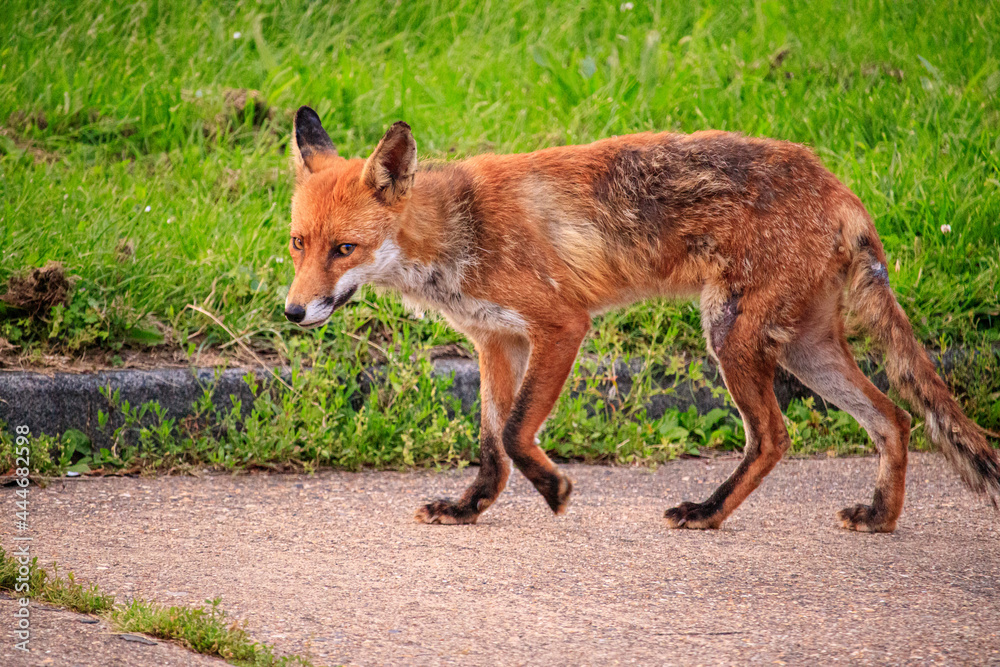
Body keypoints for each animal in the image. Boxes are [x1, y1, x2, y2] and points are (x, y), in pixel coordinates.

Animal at [284, 105, 999, 532]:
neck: (458, 234)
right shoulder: (496, 340)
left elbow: (515, 433)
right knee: (895, 417)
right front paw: (469, 508)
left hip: (731, 335)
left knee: (775, 436)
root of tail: (838, 184)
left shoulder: (561, 325)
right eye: (297, 244)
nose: (292, 312)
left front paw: (554, 489)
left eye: (343, 249)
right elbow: (491, 445)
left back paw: (708, 512)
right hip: (804, 347)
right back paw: (880, 516)